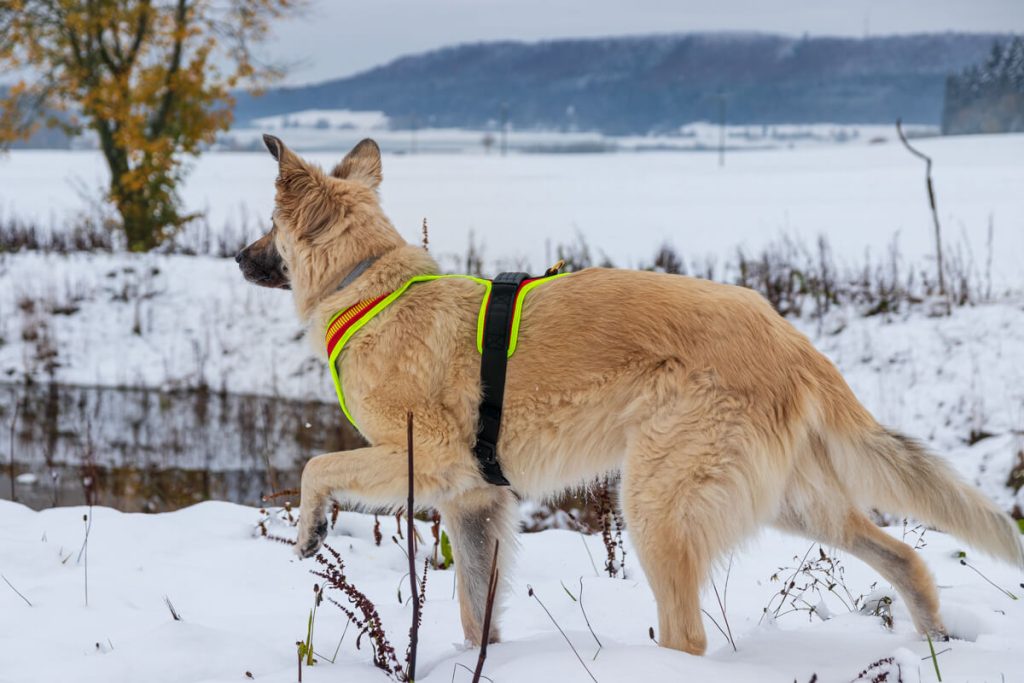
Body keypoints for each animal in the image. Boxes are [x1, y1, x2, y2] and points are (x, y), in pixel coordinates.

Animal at [237, 136, 1024, 655]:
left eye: (268, 228)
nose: (238, 258)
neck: (370, 284)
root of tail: (788, 338)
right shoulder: (476, 502)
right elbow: (475, 613)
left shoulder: (421, 459)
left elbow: (317, 466)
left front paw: (310, 529)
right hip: (791, 501)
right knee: (901, 556)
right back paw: (937, 642)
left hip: (656, 506)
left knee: (688, 635)